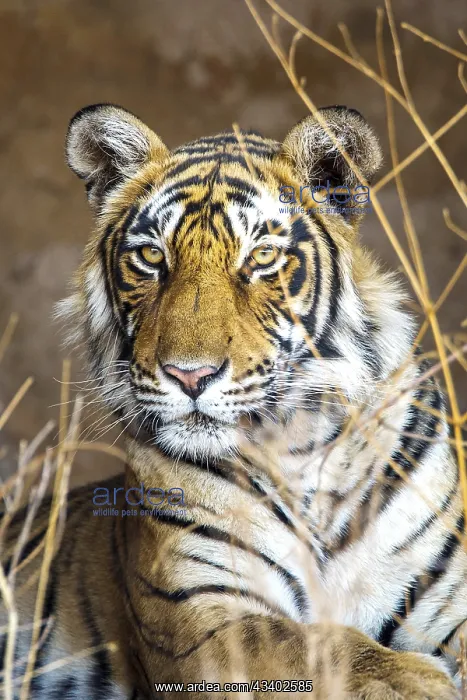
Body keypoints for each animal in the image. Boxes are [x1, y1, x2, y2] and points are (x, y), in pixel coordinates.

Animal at [1, 102, 465, 699]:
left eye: (262, 256)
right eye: (151, 256)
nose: (189, 375)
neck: (302, 448)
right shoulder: (205, 617)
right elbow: (317, 643)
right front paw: (416, 679)